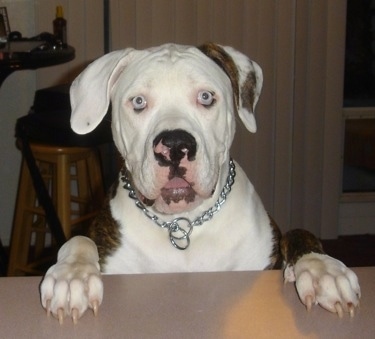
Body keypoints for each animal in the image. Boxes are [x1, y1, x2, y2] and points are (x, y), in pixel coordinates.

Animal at [39, 42, 360, 324]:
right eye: (139, 102)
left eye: (206, 97)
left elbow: (299, 233)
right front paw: (72, 276)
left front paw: (323, 270)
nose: (174, 146)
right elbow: (78, 239)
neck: (183, 224)